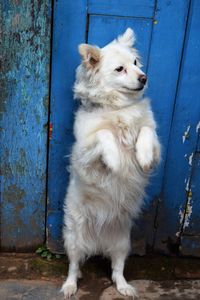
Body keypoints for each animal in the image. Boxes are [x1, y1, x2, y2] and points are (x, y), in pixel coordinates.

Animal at [61, 27, 161, 298]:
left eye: (136, 63)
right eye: (120, 69)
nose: (144, 78)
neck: (118, 108)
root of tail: (98, 242)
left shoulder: (156, 141)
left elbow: (145, 131)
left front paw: (143, 156)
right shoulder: (84, 151)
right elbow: (105, 135)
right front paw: (115, 160)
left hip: (122, 244)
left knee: (117, 270)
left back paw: (125, 287)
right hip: (73, 238)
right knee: (74, 266)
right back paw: (70, 285)